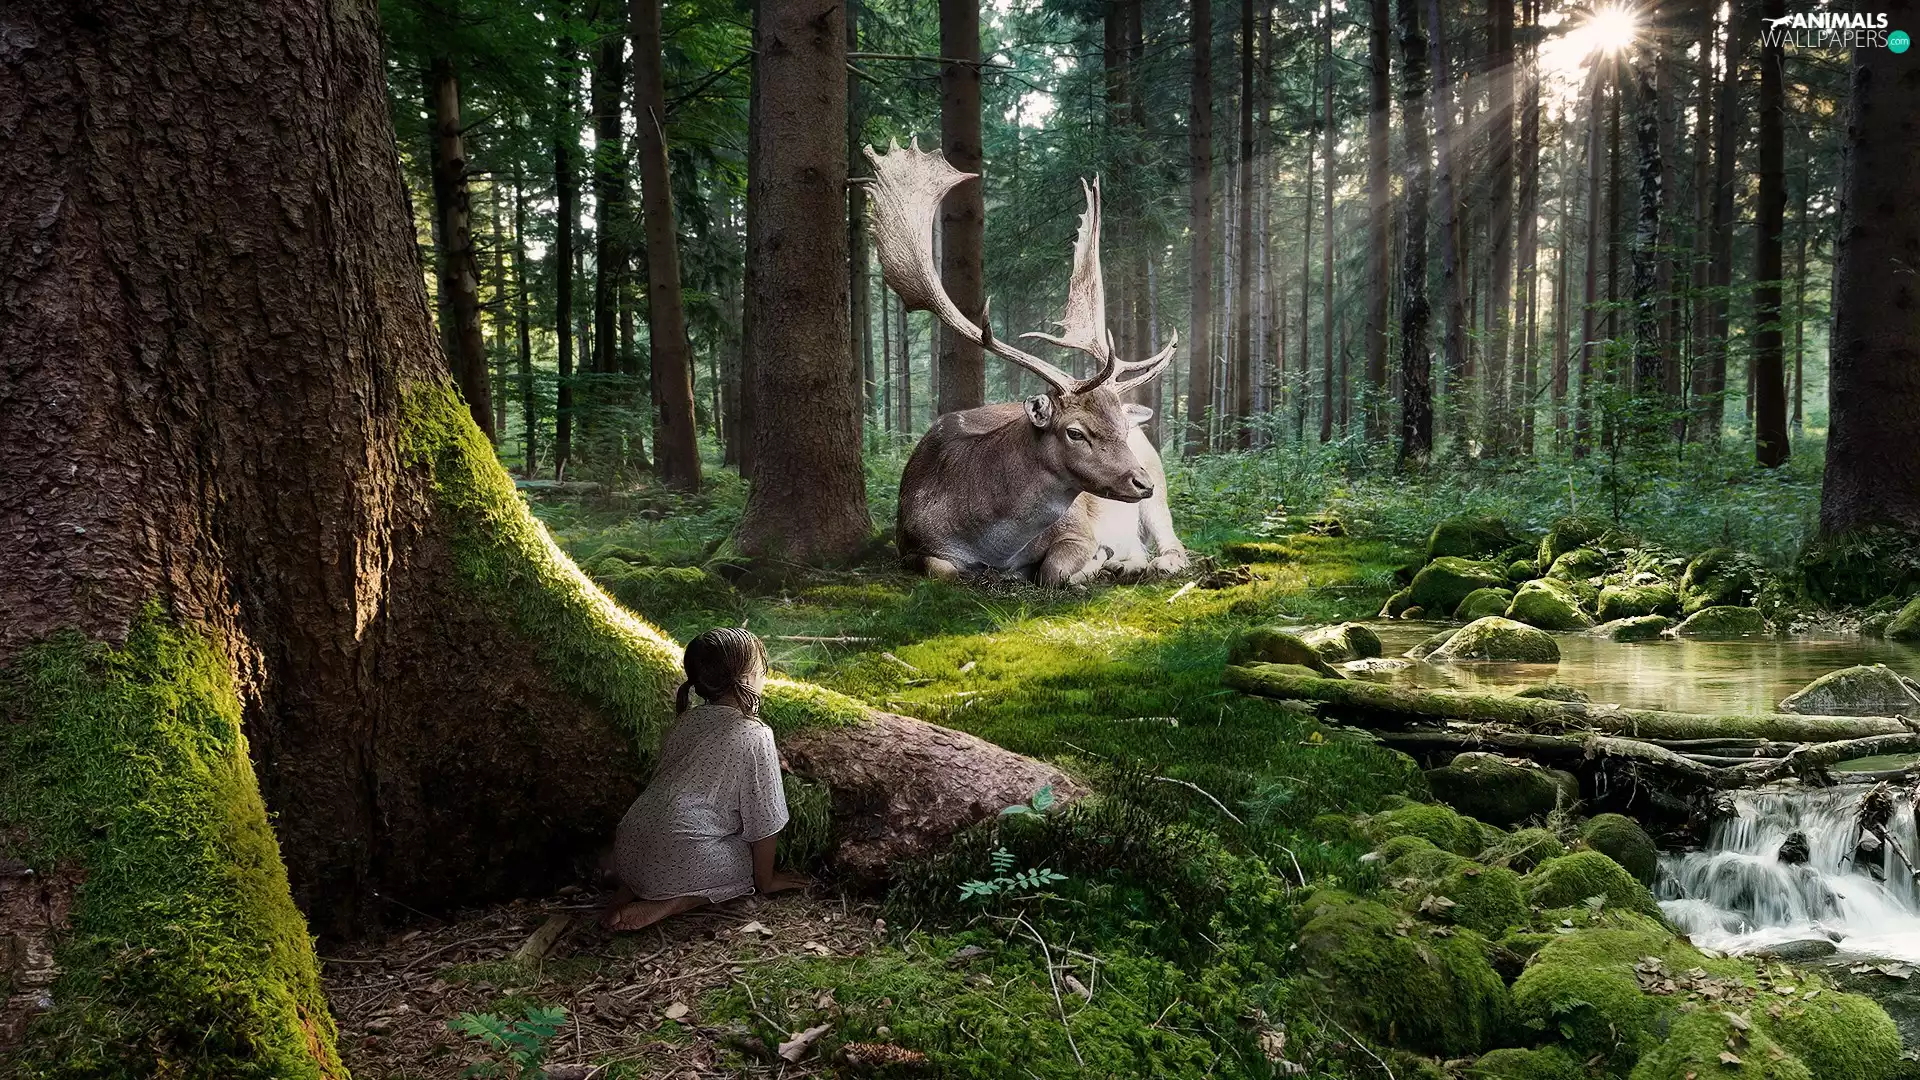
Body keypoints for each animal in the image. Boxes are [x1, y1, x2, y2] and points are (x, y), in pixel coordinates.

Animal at [866, 139, 1189, 587]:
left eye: (1121, 429)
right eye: (1075, 432)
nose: (1139, 481)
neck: (992, 544)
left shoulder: (1079, 528)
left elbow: (1053, 570)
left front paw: (1092, 562)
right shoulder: (910, 542)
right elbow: (942, 569)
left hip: (1159, 486)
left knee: (1173, 541)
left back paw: (1150, 561)